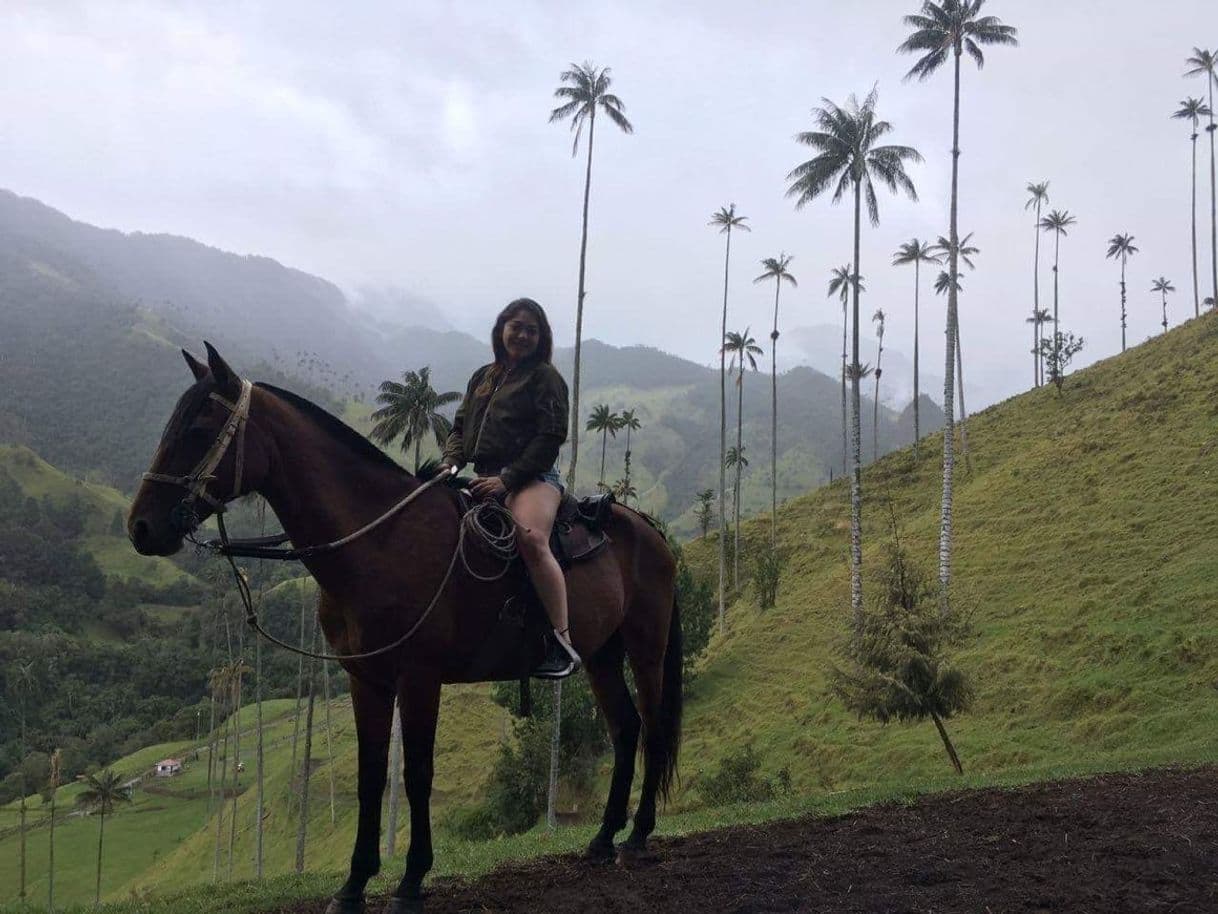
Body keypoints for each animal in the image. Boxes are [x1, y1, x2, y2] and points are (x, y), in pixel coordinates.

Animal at [133, 346, 686, 914]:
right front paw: (354, 884)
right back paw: (602, 838)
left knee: (652, 726)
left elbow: (417, 774)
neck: (380, 542)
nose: (141, 527)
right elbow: (371, 774)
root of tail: (647, 528)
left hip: (645, 647)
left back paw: (637, 837)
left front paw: (412, 879)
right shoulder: (367, 679)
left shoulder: (420, 677)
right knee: (625, 729)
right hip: (600, 654)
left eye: (199, 429)